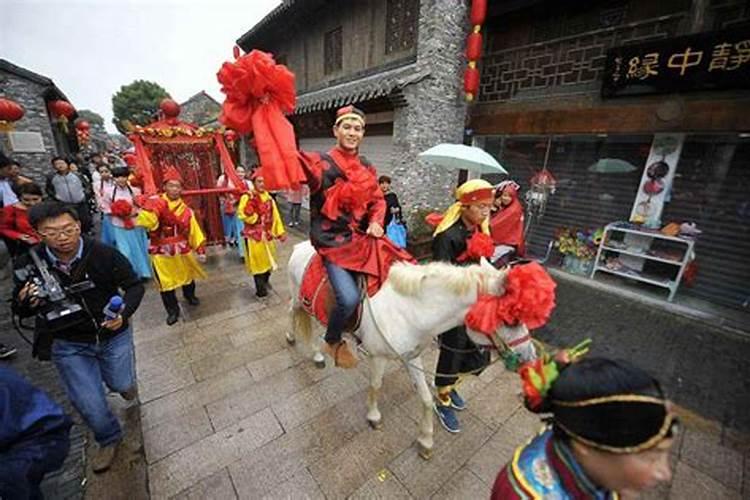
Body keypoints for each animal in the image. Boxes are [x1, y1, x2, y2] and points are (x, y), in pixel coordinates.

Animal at [288, 240, 540, 458]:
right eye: (511, 319)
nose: (530, 356)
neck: (410, 310)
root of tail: (300, 245)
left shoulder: (412, 357)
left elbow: (426, 399)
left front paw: (426, 441)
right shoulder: (379, 356)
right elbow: (375, 386)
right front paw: (373, 417)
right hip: (299, 299)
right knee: (293, 313)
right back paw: (302, 345)